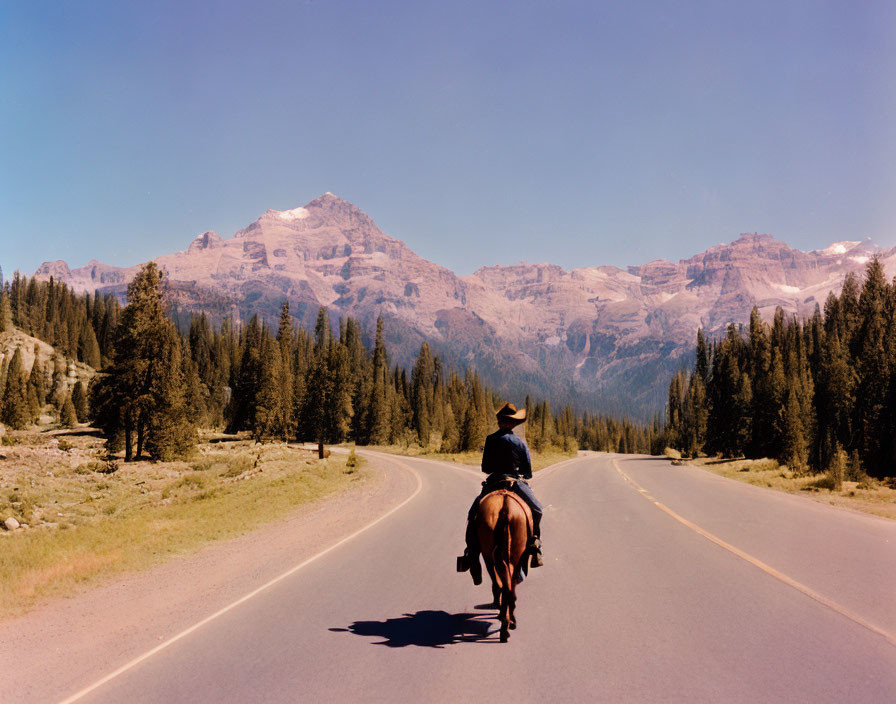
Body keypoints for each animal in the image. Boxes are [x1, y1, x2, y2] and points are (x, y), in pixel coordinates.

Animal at [476, 490, 532, 644]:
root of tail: (505, 509)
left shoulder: (487, 556)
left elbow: (497, 583)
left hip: (490, 553)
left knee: (504, 585)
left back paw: (505, 625)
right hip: (516, 554)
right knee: (510, 586)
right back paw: (508, 624)